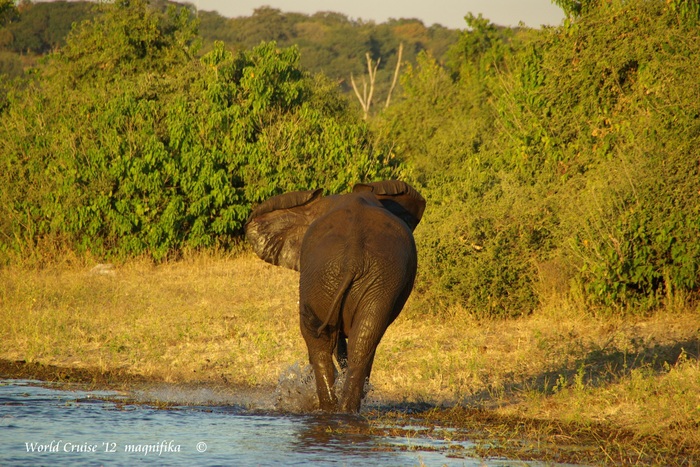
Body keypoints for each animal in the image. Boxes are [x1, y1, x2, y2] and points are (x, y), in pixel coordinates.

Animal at [243, 181, 424, 412]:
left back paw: (332, 407)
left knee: (322, 340)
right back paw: (342, 409)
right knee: (360, 340)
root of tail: (353, 258)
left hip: (343, 276)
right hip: (367, 277)